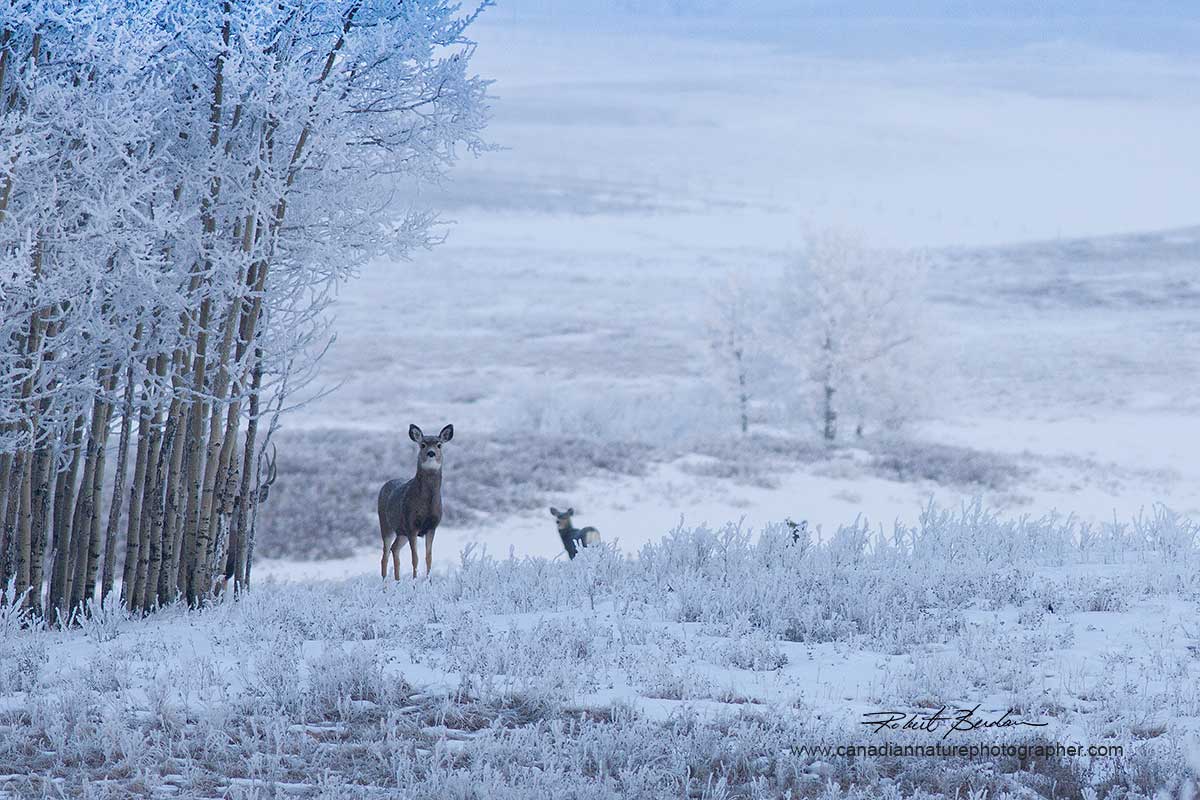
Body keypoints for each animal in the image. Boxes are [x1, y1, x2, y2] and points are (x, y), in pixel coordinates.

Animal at [378, 423, 454, 579]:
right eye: (422, 444)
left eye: (439, 444)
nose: (431, 453)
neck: (426, 504)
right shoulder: (411, 525)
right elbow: (415, 558)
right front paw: (414, 580)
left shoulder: (432, 526)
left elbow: (428, 557)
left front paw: (428, 580)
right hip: (386, 525)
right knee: (384, 554)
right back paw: (385, 583)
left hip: (401, 531)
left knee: (394, 548)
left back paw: (397, 580)